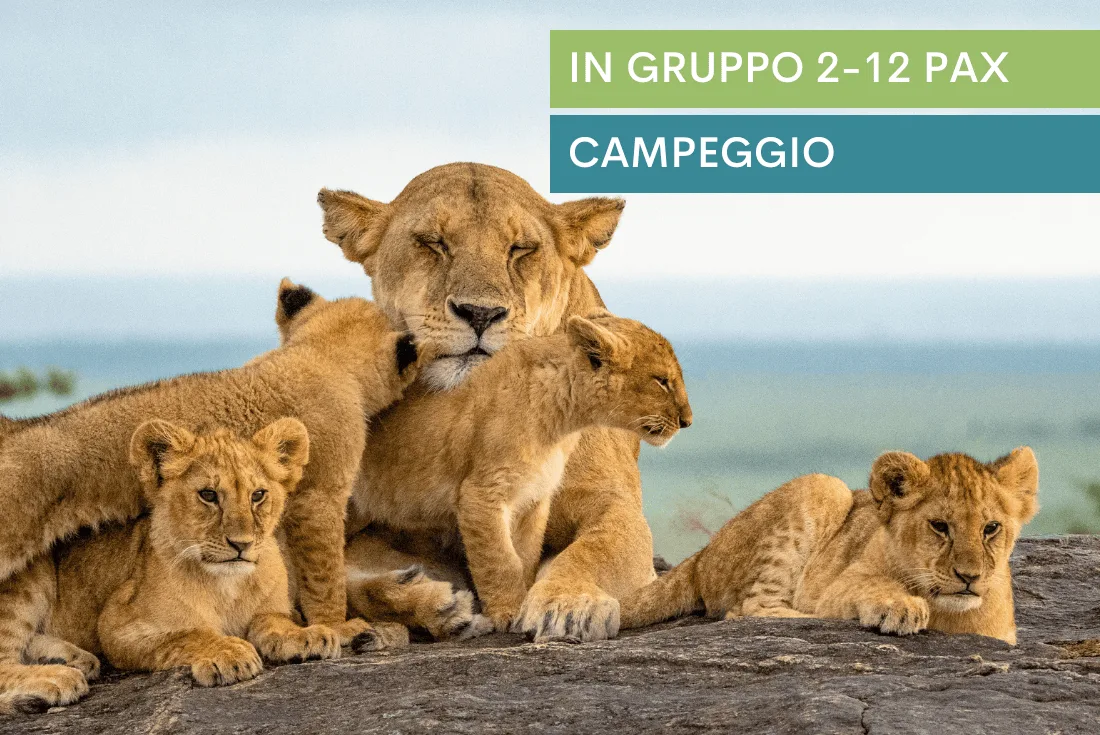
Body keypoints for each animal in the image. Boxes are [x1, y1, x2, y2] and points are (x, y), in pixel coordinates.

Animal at [0, 419, 404, 714]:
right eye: (208, 495)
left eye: (258, 495)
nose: (241, 544)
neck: (227, 585)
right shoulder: (117, 623)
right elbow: (188, 634)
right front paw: (228, 653)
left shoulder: (272, 606)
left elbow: (272, 620)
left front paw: (306, 636)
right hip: (28, 575)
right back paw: (55, 679)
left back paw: (71, 659)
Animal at [318, 162, 657, 642]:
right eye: (432, 242)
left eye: (521, 249)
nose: (480, 313)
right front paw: (428, 602)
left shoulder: (613, 502)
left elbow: (598, 549)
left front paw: (566, 604)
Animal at [343, 312, 692, 633]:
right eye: (662, 380)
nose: (687, 420)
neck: (561, 420)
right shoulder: (481, 494)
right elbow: (500, 560)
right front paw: (507, 613)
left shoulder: (534, 497)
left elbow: (526, 556)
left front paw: (527, 602)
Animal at [619, 448, 1039, 644]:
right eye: (939, 526)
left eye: (990, 528)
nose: (969, 577)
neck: (953, 615)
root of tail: (703, 553)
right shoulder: (839, 584)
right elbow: (867, 587)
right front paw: (900, 606)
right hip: (824, 486)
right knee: (749, 609)